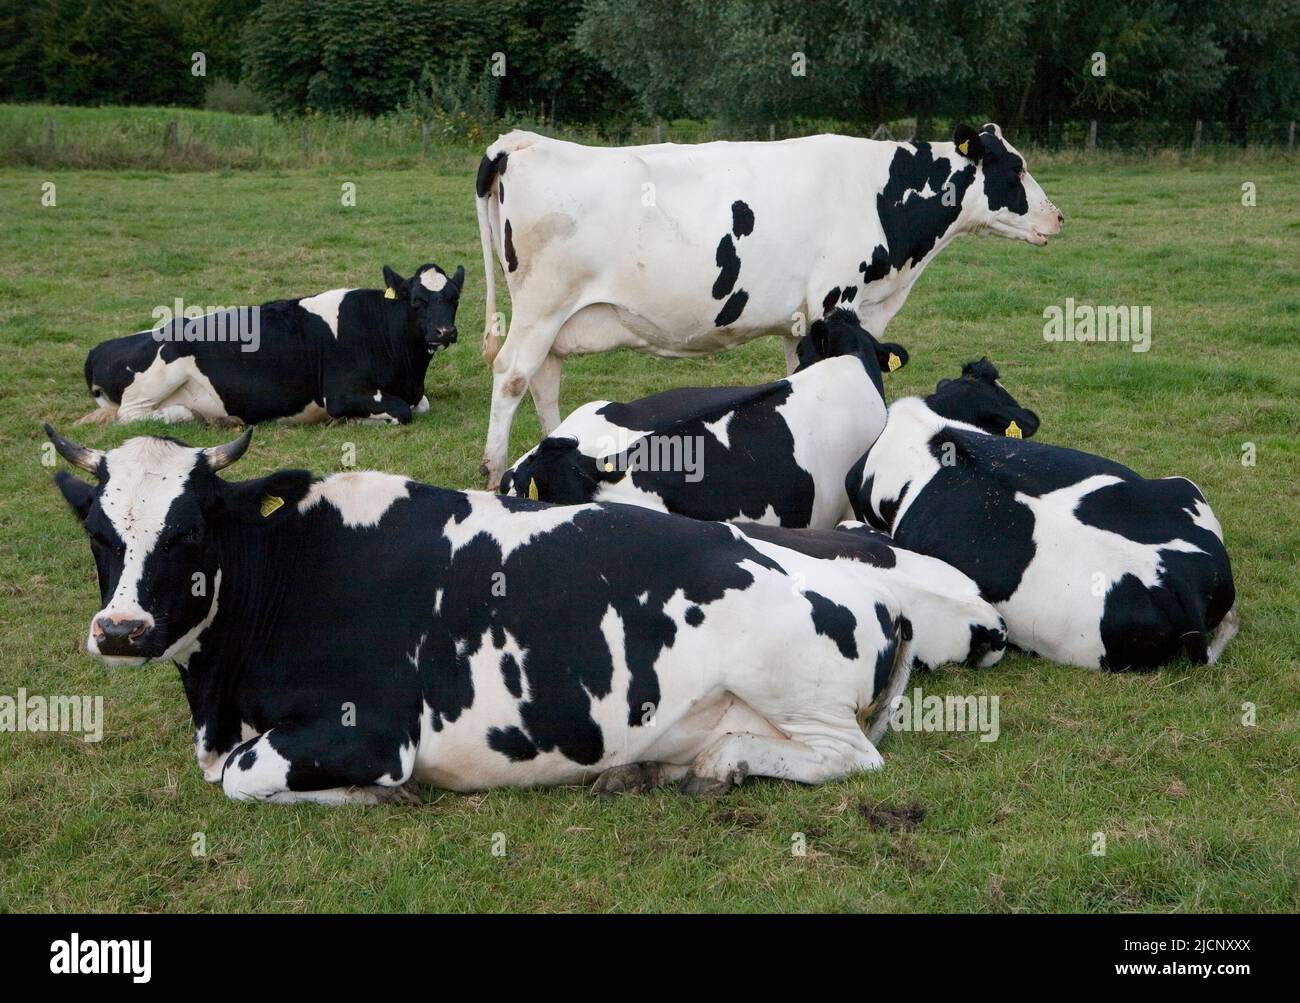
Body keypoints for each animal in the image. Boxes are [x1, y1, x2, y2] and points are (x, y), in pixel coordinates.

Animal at [46, 423, 917, 802]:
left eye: (190, 528)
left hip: (790, 686)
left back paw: (724, 761)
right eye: (97, 532)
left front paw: (366, 795)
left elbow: (241, 775)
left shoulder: (373, 730)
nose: (120, 631)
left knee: (850, 758)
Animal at [79, 263, 464, 427]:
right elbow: (401, 411)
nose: (444, 332)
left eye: (454, 297)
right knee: (132, 416)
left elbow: (420, 406)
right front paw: (353, 422)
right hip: (164, 367)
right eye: (416, 301)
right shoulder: (340, 394)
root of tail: (100, 348)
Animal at [473, 122, 1063, 486]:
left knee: (544, 383)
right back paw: (494, 471)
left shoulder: (800, 324)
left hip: (556, 321)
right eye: (1015, 168)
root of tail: (525, 142)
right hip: (540, 307)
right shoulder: (836, 301)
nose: (1057, 217)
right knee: (510, 376)